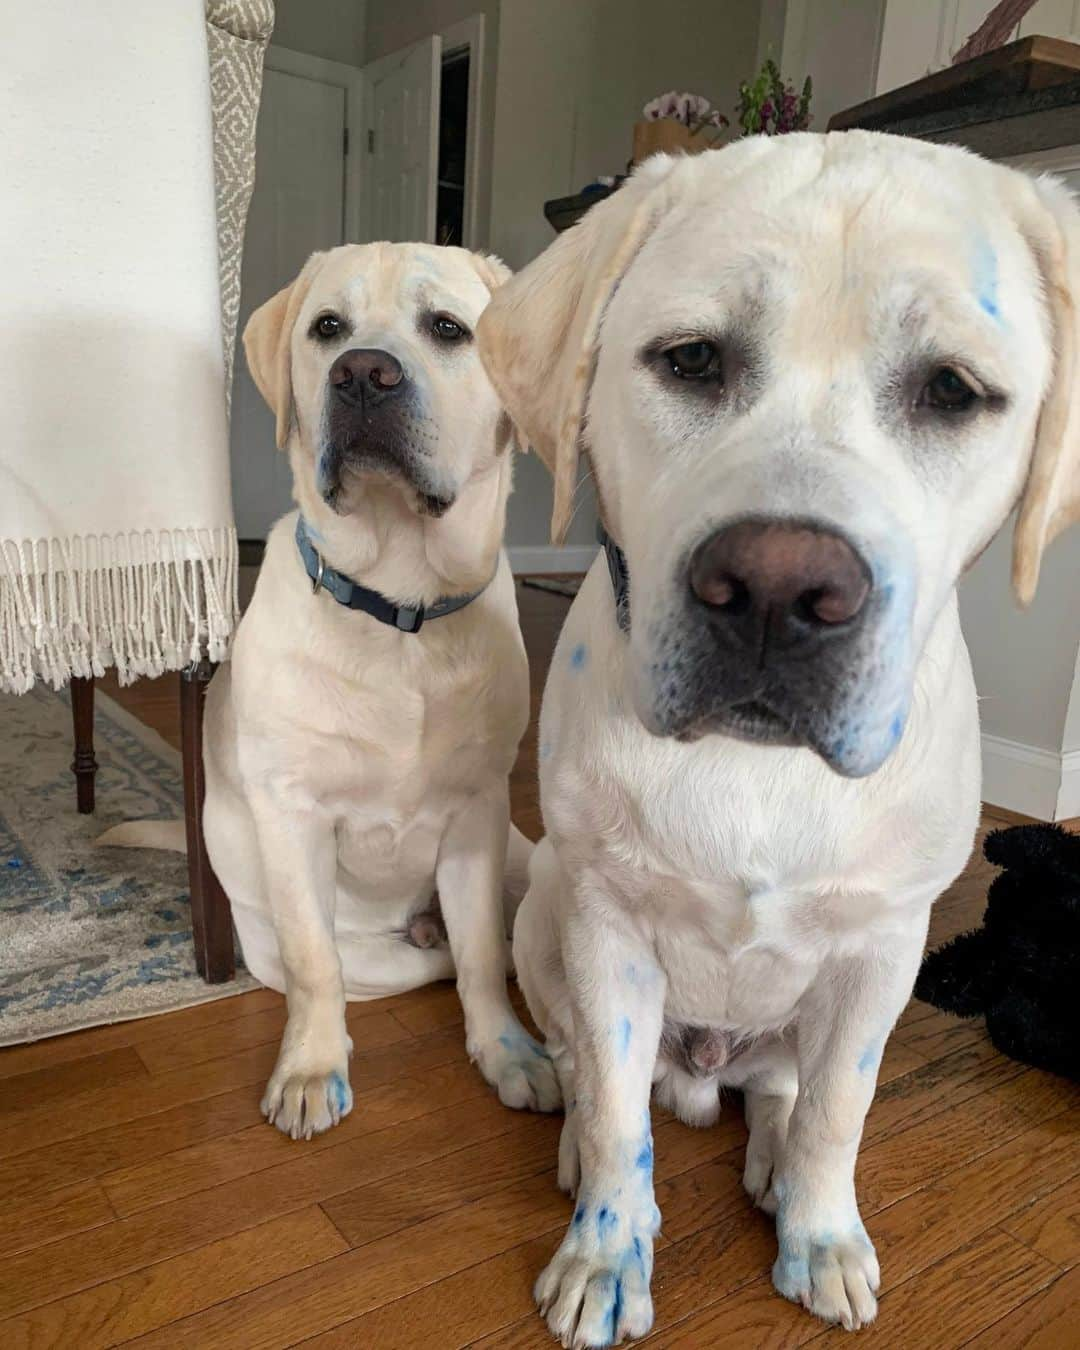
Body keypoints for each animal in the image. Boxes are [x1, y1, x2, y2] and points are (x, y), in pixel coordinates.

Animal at [203, 243, 556, 1139]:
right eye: (328, 328)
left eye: (449, 329)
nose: (363, 373)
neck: (401, 606)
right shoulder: (293, 814)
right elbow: (316, 962)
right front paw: (309, 1069)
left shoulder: (477, 813)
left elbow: (482, 954)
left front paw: (509, 1051)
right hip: (308, 943)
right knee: (386, 963)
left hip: (526, 860)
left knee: (498, 944)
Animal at [477, 131, 1080, 1344]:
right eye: (692, 360)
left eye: (954, 391)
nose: (777, 589)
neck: (756, 766)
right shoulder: (607, 928)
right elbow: (617, 1120)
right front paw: (605, 1253)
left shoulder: (887, 948)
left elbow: (840, 1108)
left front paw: (821, 1232)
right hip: (546, 914)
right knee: (587, 1066)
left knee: (785, 1092)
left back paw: (773, 1162)